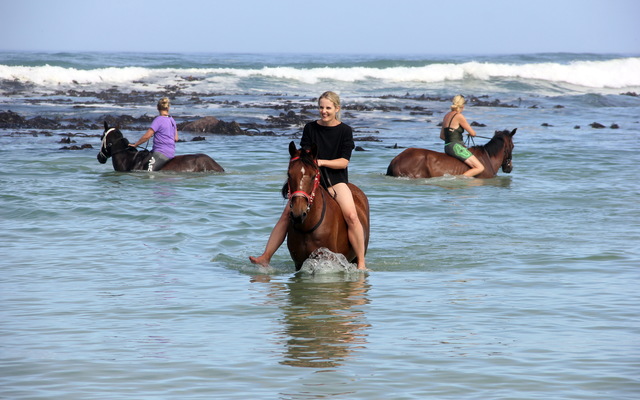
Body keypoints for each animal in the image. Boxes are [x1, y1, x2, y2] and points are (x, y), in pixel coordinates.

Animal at [285, 141, 370, 270]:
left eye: (313, 176)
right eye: (289, 174)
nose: (298, 214)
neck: (307, 227)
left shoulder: (327, 258)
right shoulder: (298, 263)